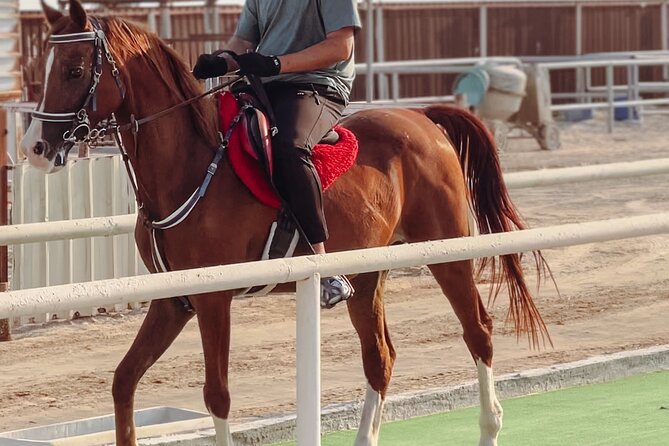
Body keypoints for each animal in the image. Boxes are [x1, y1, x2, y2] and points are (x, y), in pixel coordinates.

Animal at [20, 1, 550, 445]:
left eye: (73, 69)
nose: (35, 148)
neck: (192, 165)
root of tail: (423, 119)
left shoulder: (213, 299)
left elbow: (217, 395)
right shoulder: (174, 300)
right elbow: (124, 381)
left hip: (448, 253)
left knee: (478, 332)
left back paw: (489, 426)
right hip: (367, 272)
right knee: (379, 358)